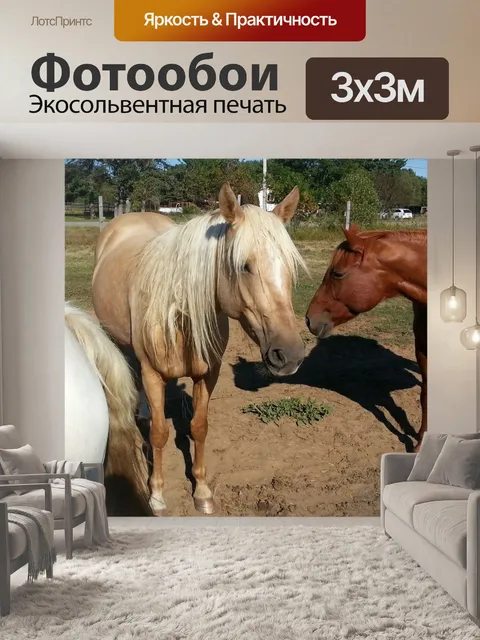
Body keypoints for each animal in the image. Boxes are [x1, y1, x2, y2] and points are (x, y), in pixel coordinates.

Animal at [92, 183, 306, 515]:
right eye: (244, 266)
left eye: (290, 269)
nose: (290, 355)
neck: (180, 316)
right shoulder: (153, 374)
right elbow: (159, 433)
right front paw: (156, 496)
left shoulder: (208, 374)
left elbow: (199, 427)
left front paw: (202, 491)